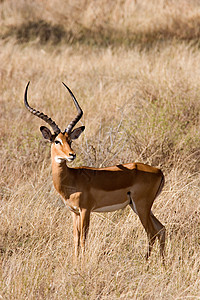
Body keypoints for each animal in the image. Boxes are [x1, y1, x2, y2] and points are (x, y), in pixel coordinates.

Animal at [23, 81, 166, 262]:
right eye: (57, 141)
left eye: (70, 140)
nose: (72, 155)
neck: (71, 180)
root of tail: (158, 171)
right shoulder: (74, 212)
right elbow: (76, 239)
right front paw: (76, 262)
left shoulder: (85, 210)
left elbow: (84, 238)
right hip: (140, 207)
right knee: (161, 229)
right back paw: (162, 263)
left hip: (141, 206)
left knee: (152, 232)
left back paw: (146, 263)